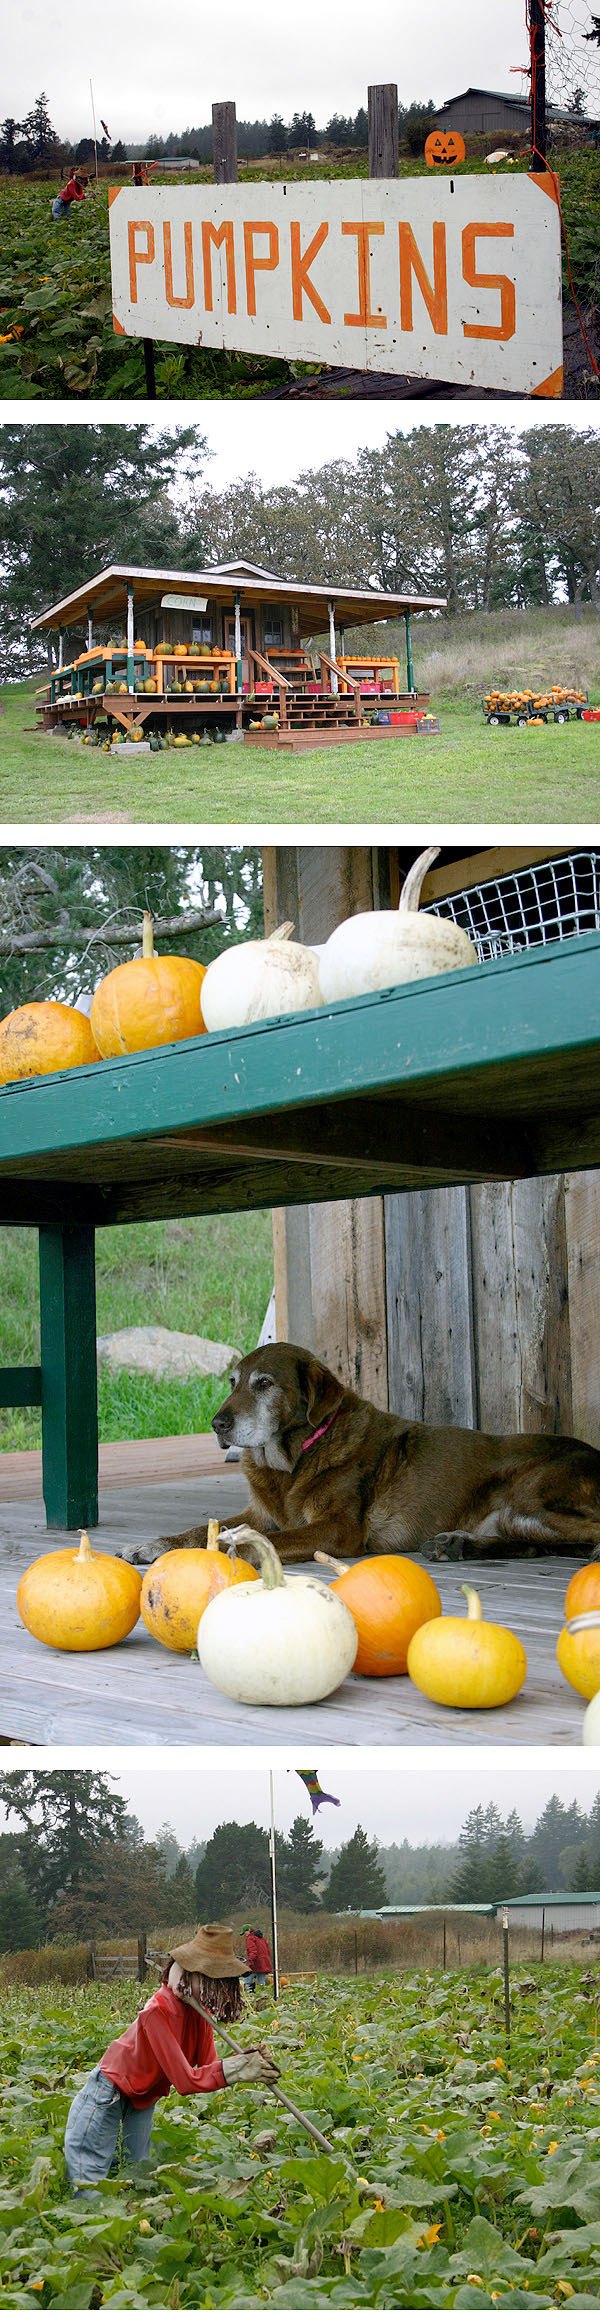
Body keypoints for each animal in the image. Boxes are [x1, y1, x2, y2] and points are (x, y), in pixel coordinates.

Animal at [127, 1343, 600, 1574]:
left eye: (264, 1384)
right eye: (233, 1382)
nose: (217, 1424)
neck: (293, 1460)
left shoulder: (337, 1528)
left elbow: (260, 1541)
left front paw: (226, 1549)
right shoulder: (260, 1513)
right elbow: (198, 1529)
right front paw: (155, 1544)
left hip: (529, 1499)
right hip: (517, 1518)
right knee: (535, 1544)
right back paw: (457, 1544)